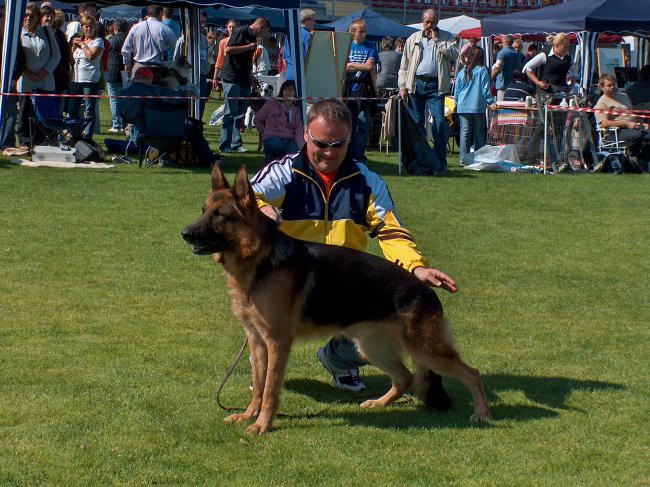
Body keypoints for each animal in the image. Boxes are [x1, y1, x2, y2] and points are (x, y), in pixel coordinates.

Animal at [181, 165, 486, 434]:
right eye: (203, 211)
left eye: (220, 216)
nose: (184, 233)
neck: (260, 259)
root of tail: (426, 290)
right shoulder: (257, 341)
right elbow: (258, 384)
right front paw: (248, 416)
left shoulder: (277, 342)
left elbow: (269, 389)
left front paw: (262, 425)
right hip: (372, 347)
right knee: (406, 378)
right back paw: (379, 403)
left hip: (424, 349)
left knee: (472, 373)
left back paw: (481, 414)